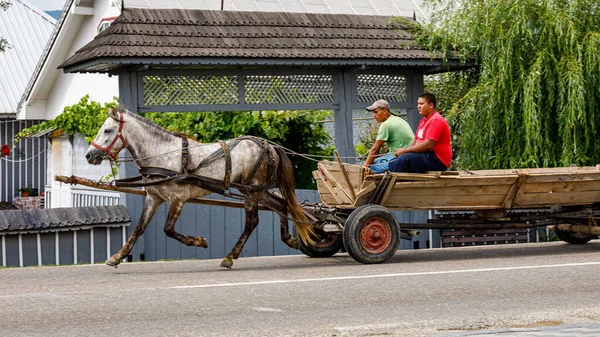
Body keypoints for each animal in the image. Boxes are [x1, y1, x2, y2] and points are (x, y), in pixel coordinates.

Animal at [86, 105, 316, 268]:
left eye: (107, 130)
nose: (89, 155)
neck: (163, 154)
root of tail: (268, 146)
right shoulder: (154, 198)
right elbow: (139, 228)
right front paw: (117, 256)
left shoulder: (178, 199)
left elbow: (168, 229)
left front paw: (199, 241)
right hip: (256, 190)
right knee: (281, 205)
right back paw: (290, 239)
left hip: (252, 190)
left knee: (252, 222)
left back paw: (230, 257)